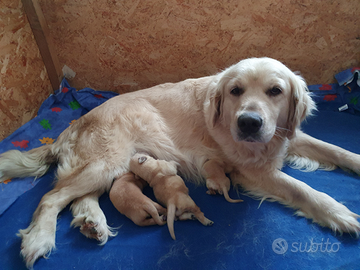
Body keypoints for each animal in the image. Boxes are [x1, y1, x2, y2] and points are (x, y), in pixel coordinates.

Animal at [0, 57, 360, 268]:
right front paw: (340, 214)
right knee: (52, 197)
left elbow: (336, 150)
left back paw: (93, 224)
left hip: (109, 168)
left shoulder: (287, 135)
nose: (249, 123)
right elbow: (303, 190)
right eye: (235, 90)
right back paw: (39, 238)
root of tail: (73, 124)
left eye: (275, 91)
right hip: (106, 162)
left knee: (79, 198)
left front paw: (352, 161)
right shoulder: (253, 170)